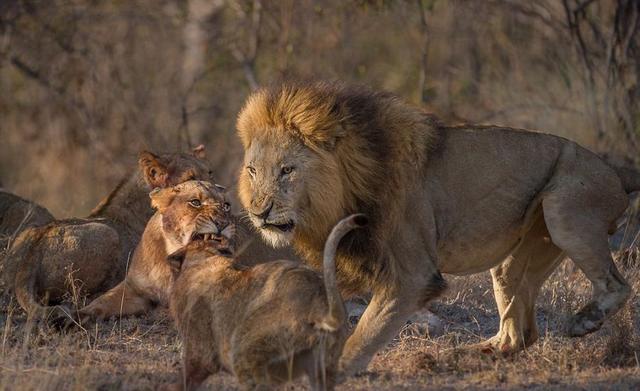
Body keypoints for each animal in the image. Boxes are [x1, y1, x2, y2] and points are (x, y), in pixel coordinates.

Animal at [165, 214, 364, 391]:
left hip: (244, 351)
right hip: (322, 367)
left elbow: (185, 379)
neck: (205, 258)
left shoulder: (200, 353)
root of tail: (319, 304)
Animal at [236, 81, 640, 376]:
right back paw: (472, 353)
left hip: (564, 210)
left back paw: (584, 321)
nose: (259, 212)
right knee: (520, 333)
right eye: (253, 170)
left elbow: (365, 332)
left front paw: (332, 371)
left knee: (618, 285)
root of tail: (613, 168)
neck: (345, 188)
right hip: (517, 256)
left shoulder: (414, 275)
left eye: (287, 170)